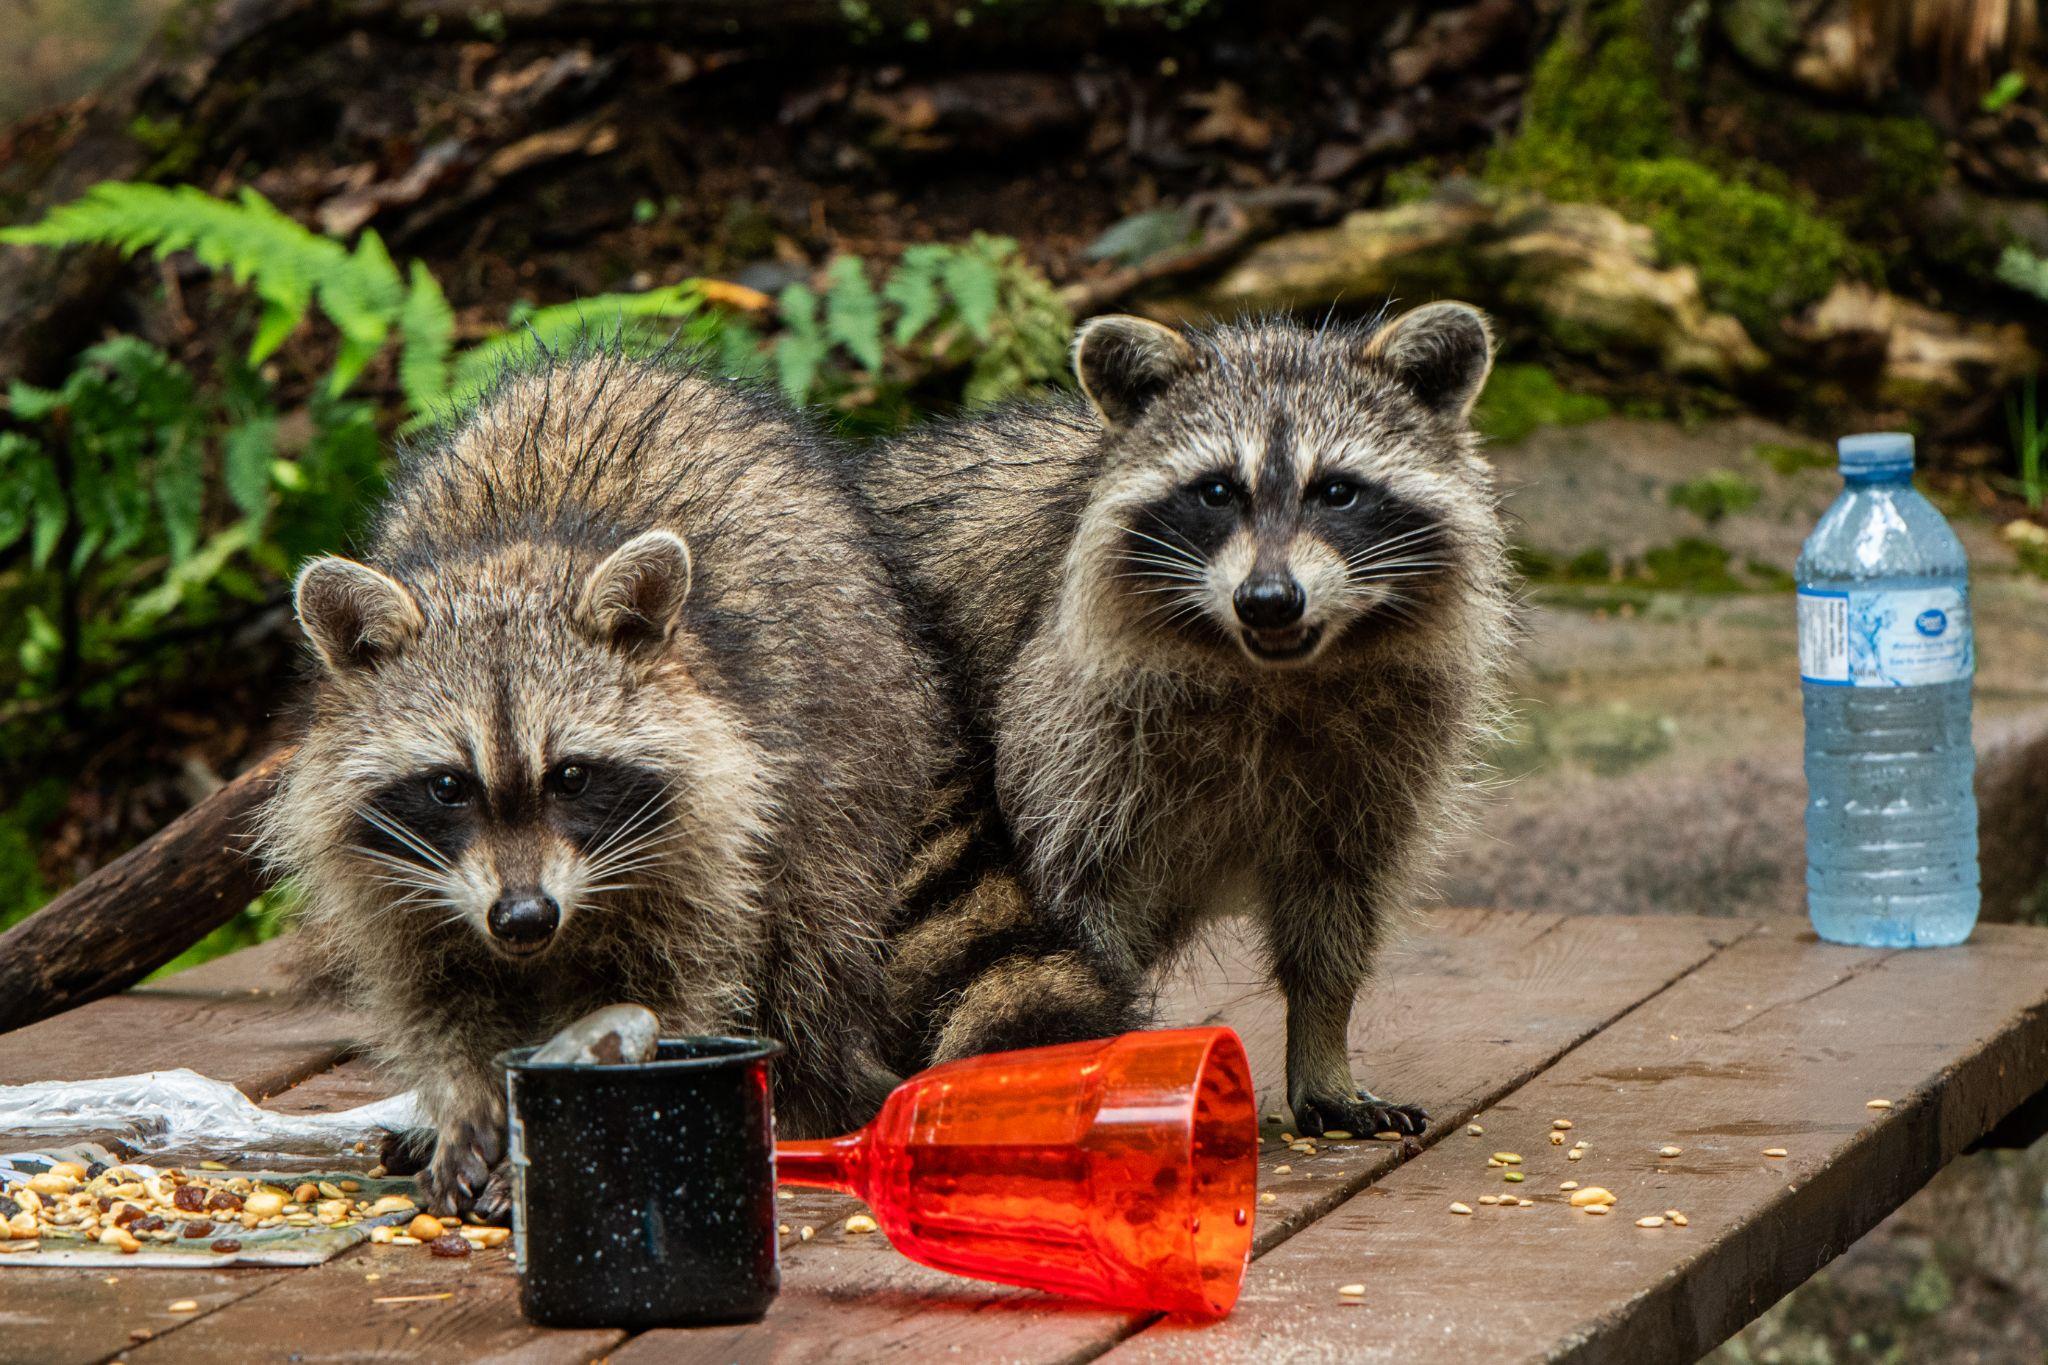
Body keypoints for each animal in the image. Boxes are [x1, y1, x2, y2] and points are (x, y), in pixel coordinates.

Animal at [262, 349, 950, 1219]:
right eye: (449, 786)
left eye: (572, 776)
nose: (524, 917)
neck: (510, 558)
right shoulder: (390, 875)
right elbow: (435, 996)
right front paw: (464, 1104)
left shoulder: (716, 826)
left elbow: (673, 984)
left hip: (858, 755)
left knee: (814, 937)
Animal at [856, 304, 1515, 1137]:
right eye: (1217, 491)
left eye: (1337, 490)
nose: (1269, 600)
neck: (1271, 669)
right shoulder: (1069, 727)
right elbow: (1076, 904)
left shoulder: (1382, 757)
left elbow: (1337, 902)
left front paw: (1323, 1042)